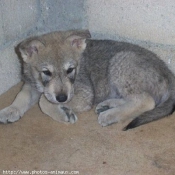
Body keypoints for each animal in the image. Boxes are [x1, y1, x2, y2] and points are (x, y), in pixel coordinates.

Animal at [0, 29, 175, 130]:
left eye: (70, 70)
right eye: (46, 72)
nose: (62, 98)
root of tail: (168, 73)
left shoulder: (84, 95)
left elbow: (43, 102)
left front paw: (63, 114)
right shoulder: (31, 84)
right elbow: (22, 96)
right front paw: (10, 110)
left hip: (121, 61)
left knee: (146, 101)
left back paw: (110, 115)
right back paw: (108, 105)